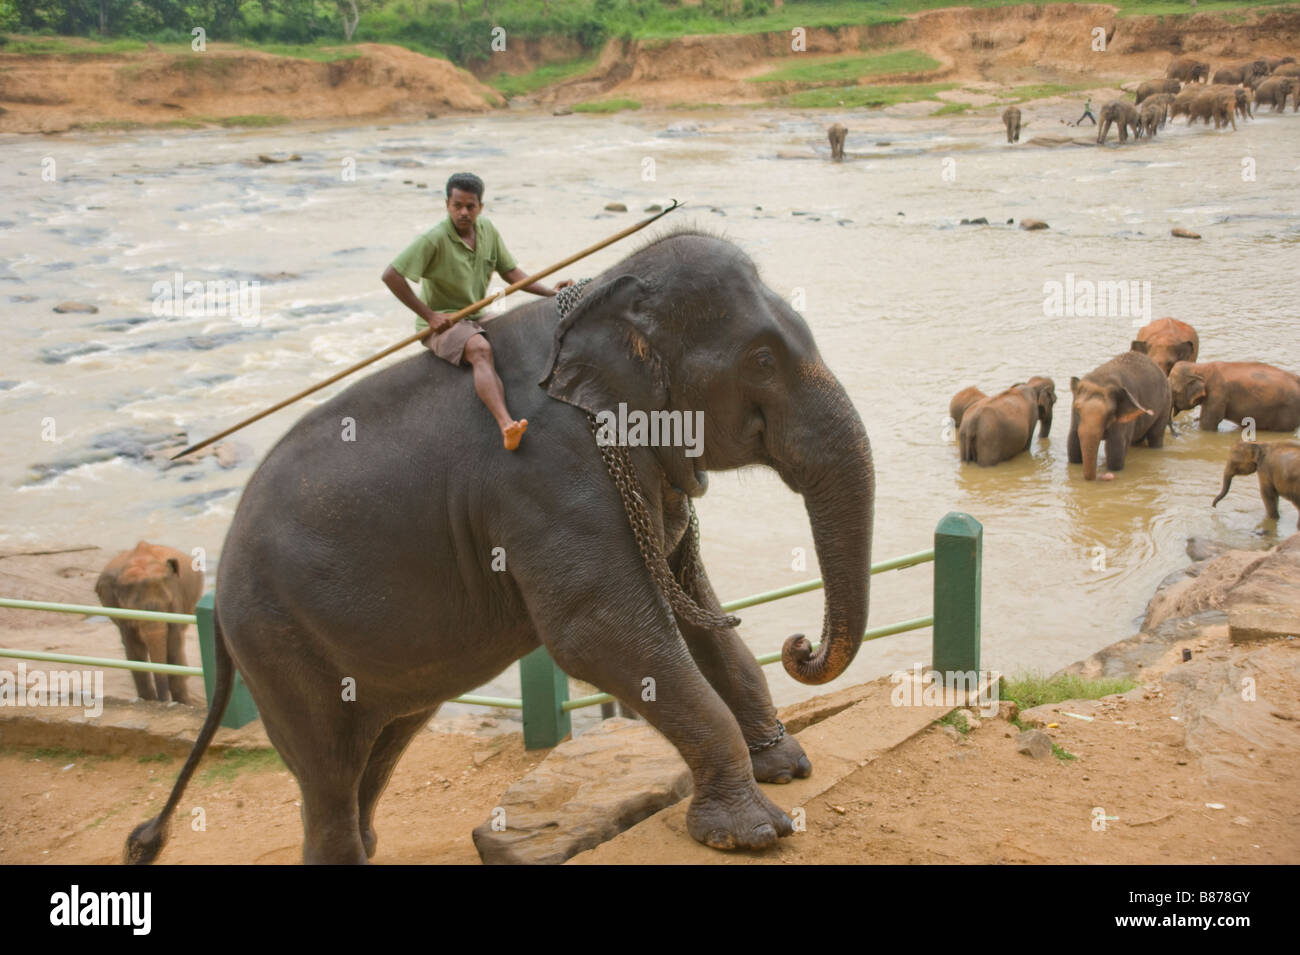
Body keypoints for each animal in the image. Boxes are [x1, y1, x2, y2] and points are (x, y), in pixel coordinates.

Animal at [95, 541, 203, 704]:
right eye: (132, 609)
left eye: (168, 603)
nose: (164, 702)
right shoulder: (120, 612)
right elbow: (134, 648)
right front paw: (148, 700)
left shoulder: (176, 601)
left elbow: (173, 644)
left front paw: (184, 703)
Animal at [124, 230, 876, 864]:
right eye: (762, 360)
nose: (800, 646)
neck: (599, 299)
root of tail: (219, 574)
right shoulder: (546, 476)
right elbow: (599, 631)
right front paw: (753, 833)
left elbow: (694, 613)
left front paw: (787, 767)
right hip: (276, 638)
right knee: (328, 765)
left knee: (381, 744)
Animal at [1068, 352, 1171, 481]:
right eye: (1077, 409)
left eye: (1110, 413)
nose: (1103, 476)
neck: (1101, 379)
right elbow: (1073, 447)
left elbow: (1115, 453)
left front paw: (1112, 469)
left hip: (1166, 404)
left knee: (1155, 435)